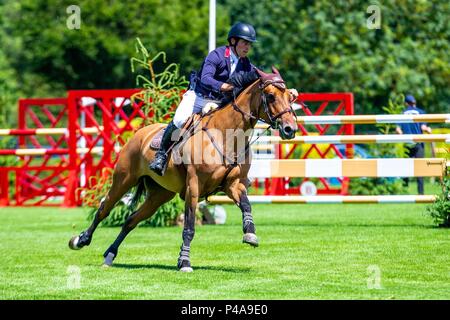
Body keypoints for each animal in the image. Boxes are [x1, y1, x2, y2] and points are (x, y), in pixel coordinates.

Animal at [67, 66, 298, 272]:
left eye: (290, 96)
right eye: (270, 96)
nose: (290, 129)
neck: (226, 136)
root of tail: (140, 133)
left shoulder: (233, 185)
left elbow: (246, 205)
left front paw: (250, 234)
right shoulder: (193, 187)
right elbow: (189, 227)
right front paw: (184, 262)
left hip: (160, 195)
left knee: (131, 220)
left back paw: (110, 255)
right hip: (123, 180)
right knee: (104, 208)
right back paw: (80, 240)